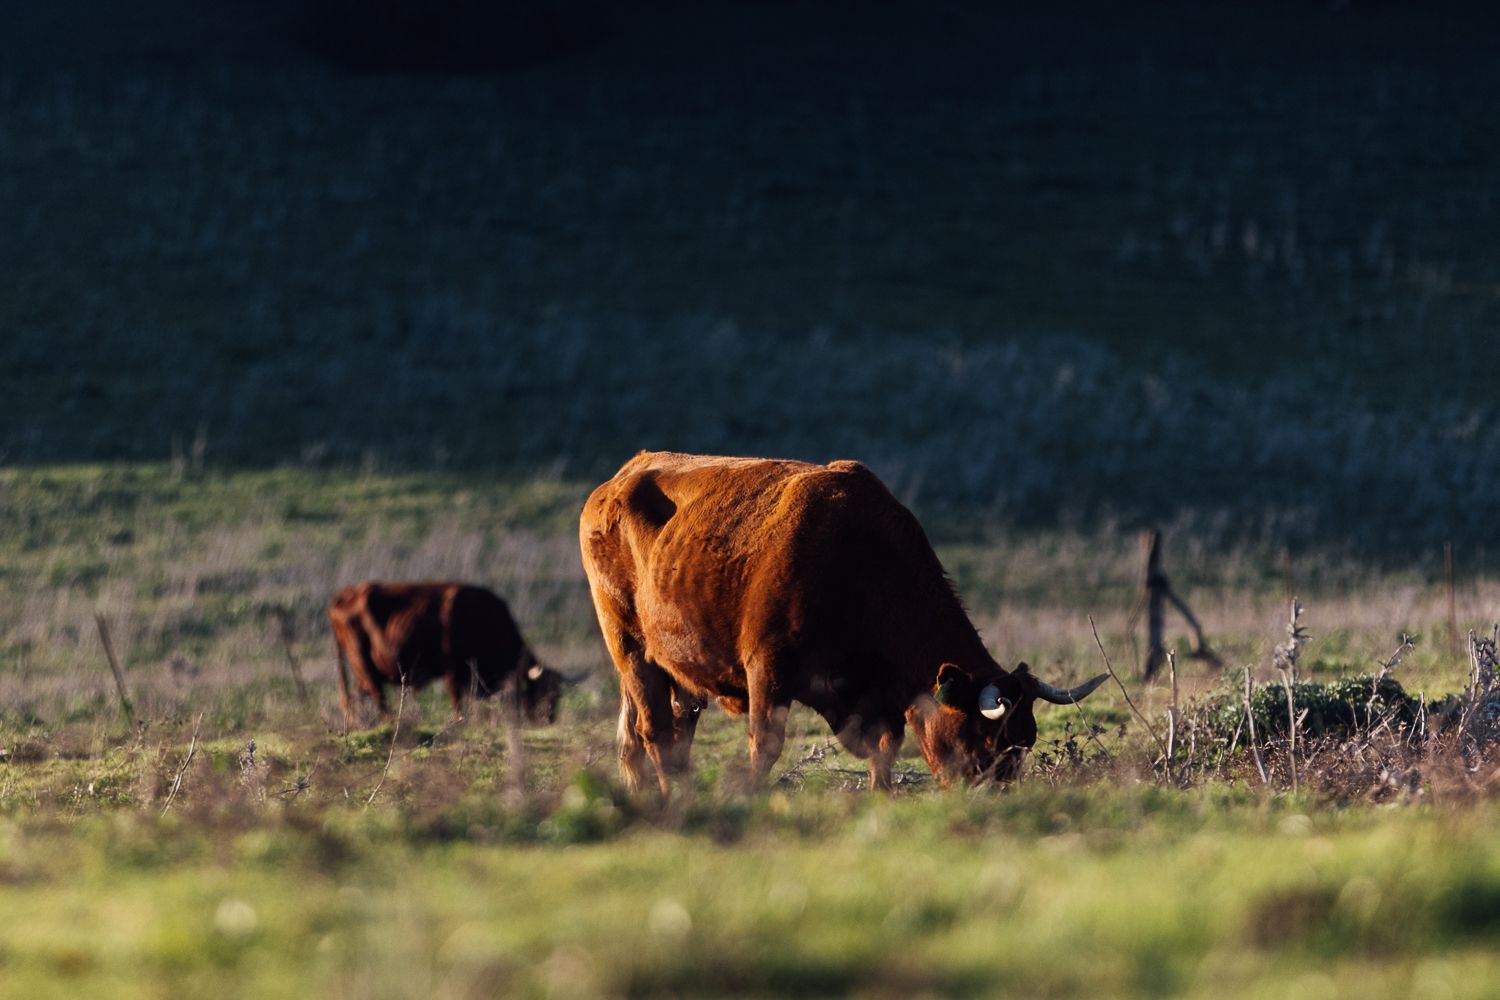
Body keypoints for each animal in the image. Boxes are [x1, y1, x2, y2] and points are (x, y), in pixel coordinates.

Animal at [328, 581, 563, 728]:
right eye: (543, 692)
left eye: (557, 694)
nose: (549, 720)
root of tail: (345, 594)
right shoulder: (453, 671)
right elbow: (456, 701)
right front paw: (459, 721)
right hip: (362, 662)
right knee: (378, 696)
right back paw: (390, 722)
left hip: (362, 670)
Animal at [579, 451, 1107, 794]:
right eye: (984, 739)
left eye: (1026, 740)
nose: (996, 795)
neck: (859, 559)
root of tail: (615, 482)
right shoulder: (767, 670)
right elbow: (764, 744)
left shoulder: (877, 695)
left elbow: (884, 746)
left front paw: (882, 796)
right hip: (630, 649)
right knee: (653, 729)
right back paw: (671, 794)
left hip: (678, 667)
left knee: (670, 730)